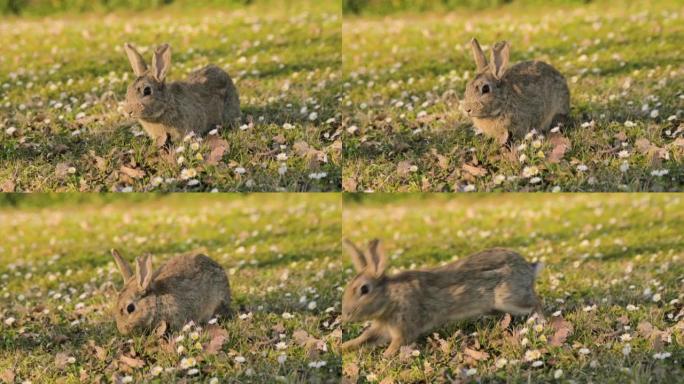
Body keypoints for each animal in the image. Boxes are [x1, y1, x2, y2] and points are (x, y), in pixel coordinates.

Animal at [340, 238, 544, 358]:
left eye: (364, 289)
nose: (346, 315)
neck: (390, 296)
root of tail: (529, 268)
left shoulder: (404, 327)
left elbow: (397, 343)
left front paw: (385, 357)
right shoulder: (382, 328)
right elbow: (364, 338)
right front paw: (344, 347)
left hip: (509, 298)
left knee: (537, 302)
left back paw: (538, 321)